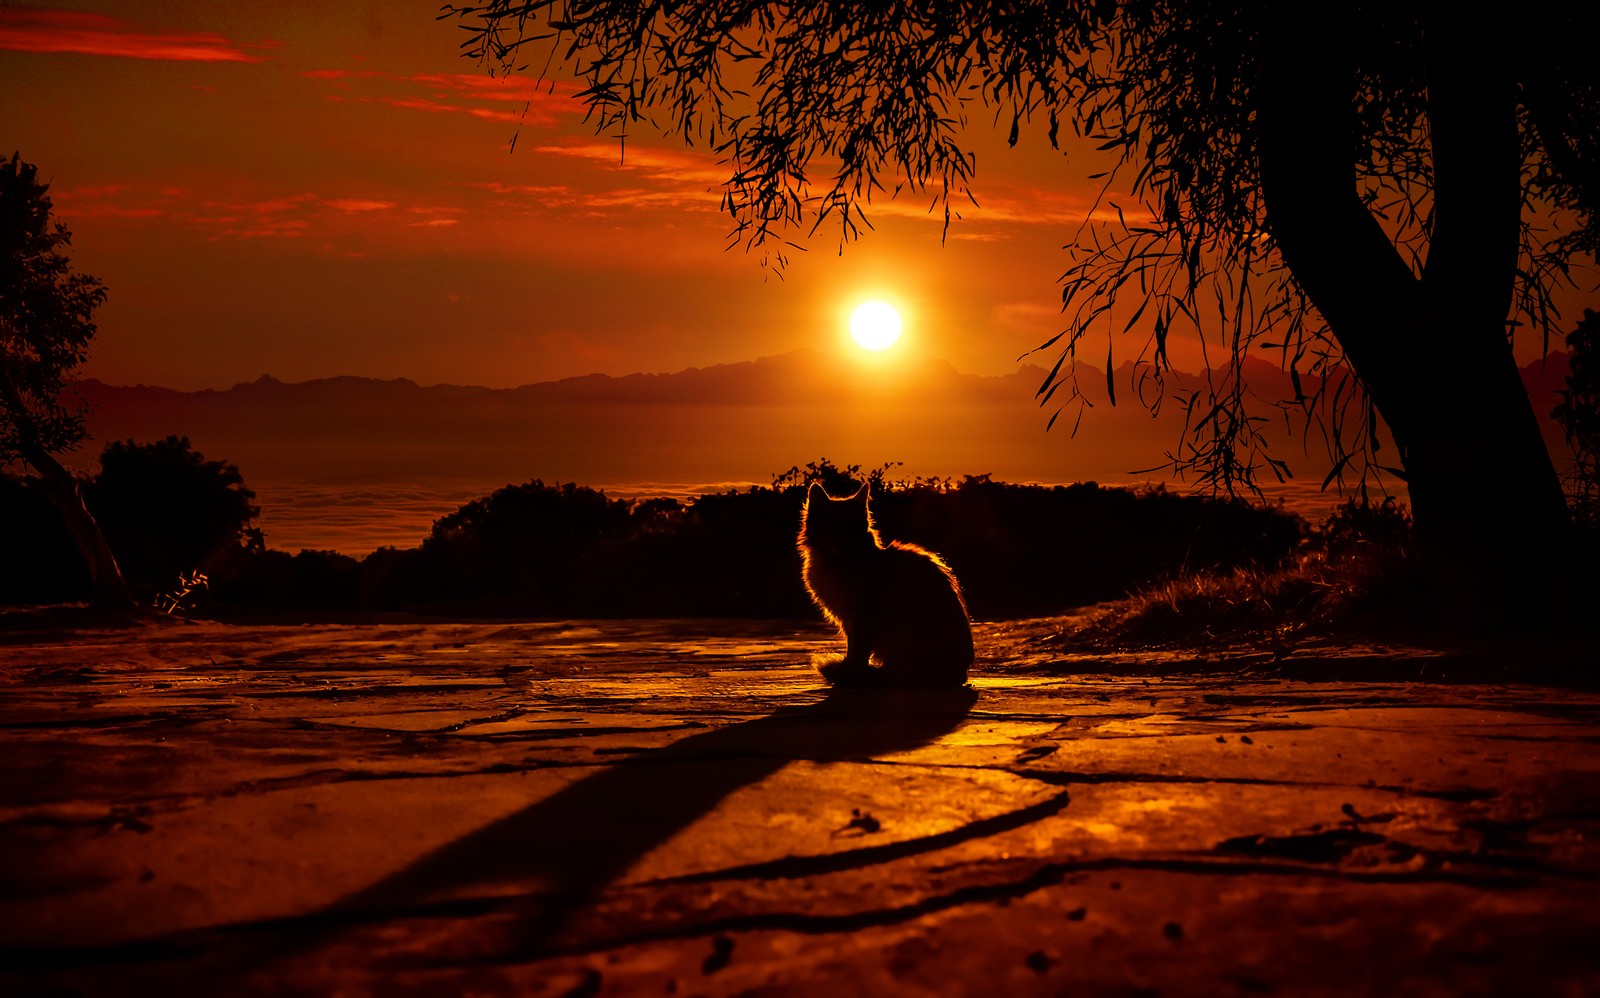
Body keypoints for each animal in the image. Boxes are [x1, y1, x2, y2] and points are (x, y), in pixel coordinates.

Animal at [800, 483, 972, 684]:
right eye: (833, 525)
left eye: (852, 527)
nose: (843, 540)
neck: (837, 561)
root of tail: (960, 674)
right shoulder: (850, 619)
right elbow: (853, 649)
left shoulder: (862, 616)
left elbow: (858, 652)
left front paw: (851, 673)